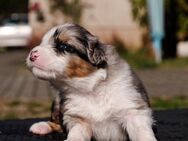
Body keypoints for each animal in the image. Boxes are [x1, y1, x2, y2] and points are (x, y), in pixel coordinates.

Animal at [25, 23, 156, 141]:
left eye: (65, 46)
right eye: (42, 42)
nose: (32, 54)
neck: (91, 89)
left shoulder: (133, 110)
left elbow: (141, 132)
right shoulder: (78, 118)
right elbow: (77, 132)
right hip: (57, 101)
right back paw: (41, 126)